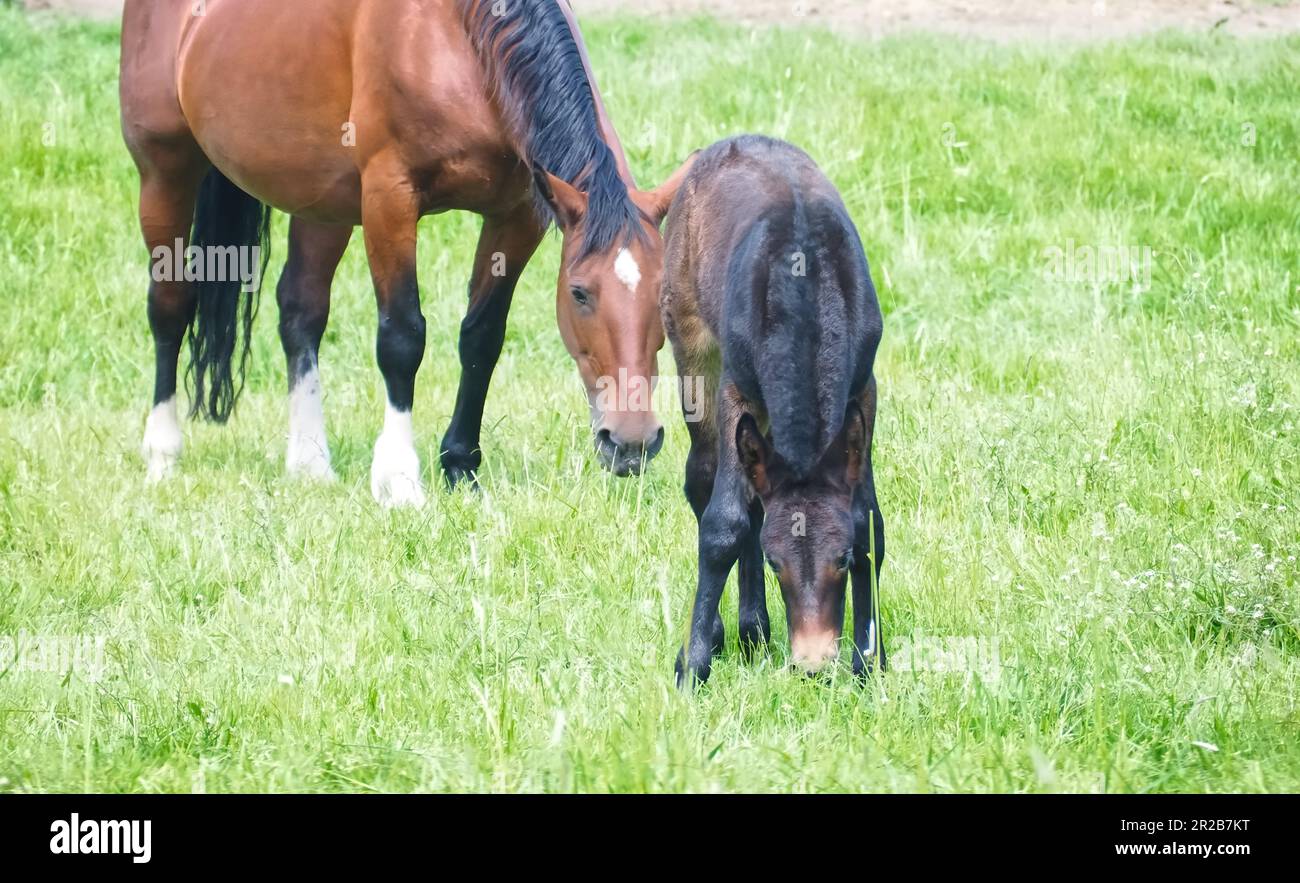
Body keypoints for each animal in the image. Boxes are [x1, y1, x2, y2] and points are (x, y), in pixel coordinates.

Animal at [119, 0, 691, 504]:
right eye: (578, 294)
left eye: (661, 297)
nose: (632, 441)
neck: (460, 43)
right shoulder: (389, 200)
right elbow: (402, 338)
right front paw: (398, 480)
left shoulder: (518, 215)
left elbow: (482, 338)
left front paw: (460, 467)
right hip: (165, 172)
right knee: (169, 306)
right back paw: (163, 453)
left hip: (321, 203)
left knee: (300, 312)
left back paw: (309, 463)